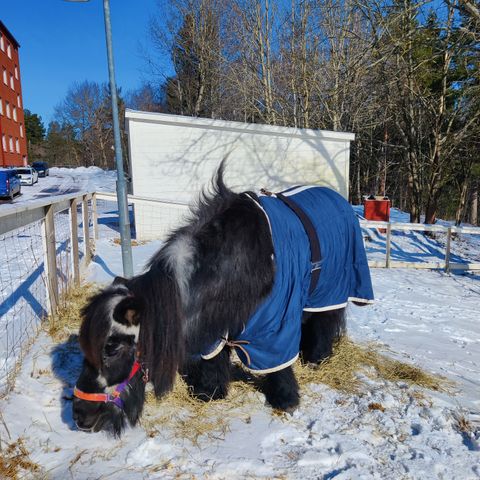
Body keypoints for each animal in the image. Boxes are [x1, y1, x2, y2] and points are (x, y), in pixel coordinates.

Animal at [72, 164, 372, 436]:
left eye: (112, 350)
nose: (80, 416)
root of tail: (337, 199)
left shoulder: (274, 325)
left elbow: (277, 363)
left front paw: (286, 399)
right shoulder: (215, 326)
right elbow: (212, 360)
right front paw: (210, 392)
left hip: (329, 291)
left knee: (324, 322)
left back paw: (316, 359)